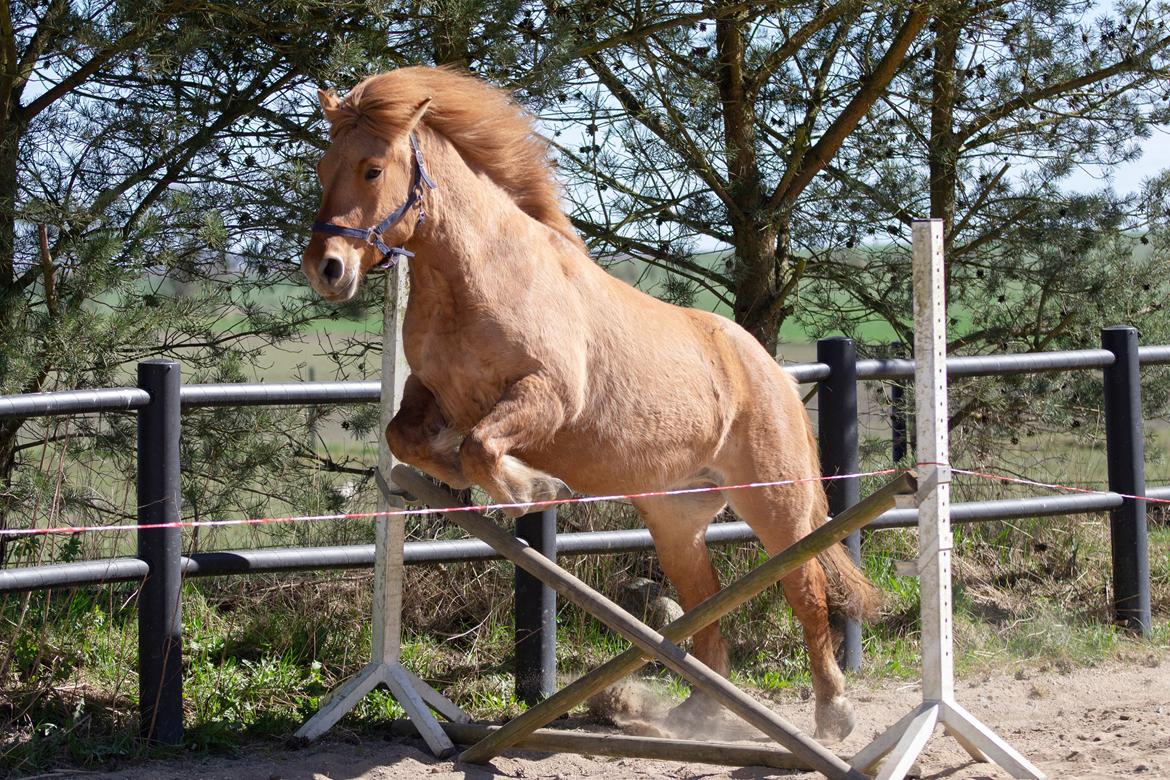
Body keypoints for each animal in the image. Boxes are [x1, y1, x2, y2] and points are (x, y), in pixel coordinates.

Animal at [301, 65, 879, 739]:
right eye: (324, 167)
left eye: (371, 168)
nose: (326, 269)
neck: (474, 278)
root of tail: (776, 374)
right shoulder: (433, 392)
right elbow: (409, 437)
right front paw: (460, 480)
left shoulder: (548, 396)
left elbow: (481, 446)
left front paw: (532, 488)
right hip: (676, 518)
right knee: (707, 605)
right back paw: (698, 714)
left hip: (775, 503)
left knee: (806, 591)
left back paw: (833, 711)